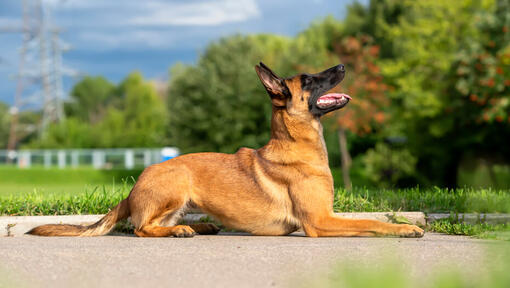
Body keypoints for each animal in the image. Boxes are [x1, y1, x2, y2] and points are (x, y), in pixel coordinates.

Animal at [29, 63, 424, 238]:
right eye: (309, 80)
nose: (342, 64)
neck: (295, 144)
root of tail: (132, 190)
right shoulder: (319, 222)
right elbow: (371, 222)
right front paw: (405, 229)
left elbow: (372, 219)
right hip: (176, 181)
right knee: (142, 228)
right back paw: (181, 232)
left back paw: (200, 227)